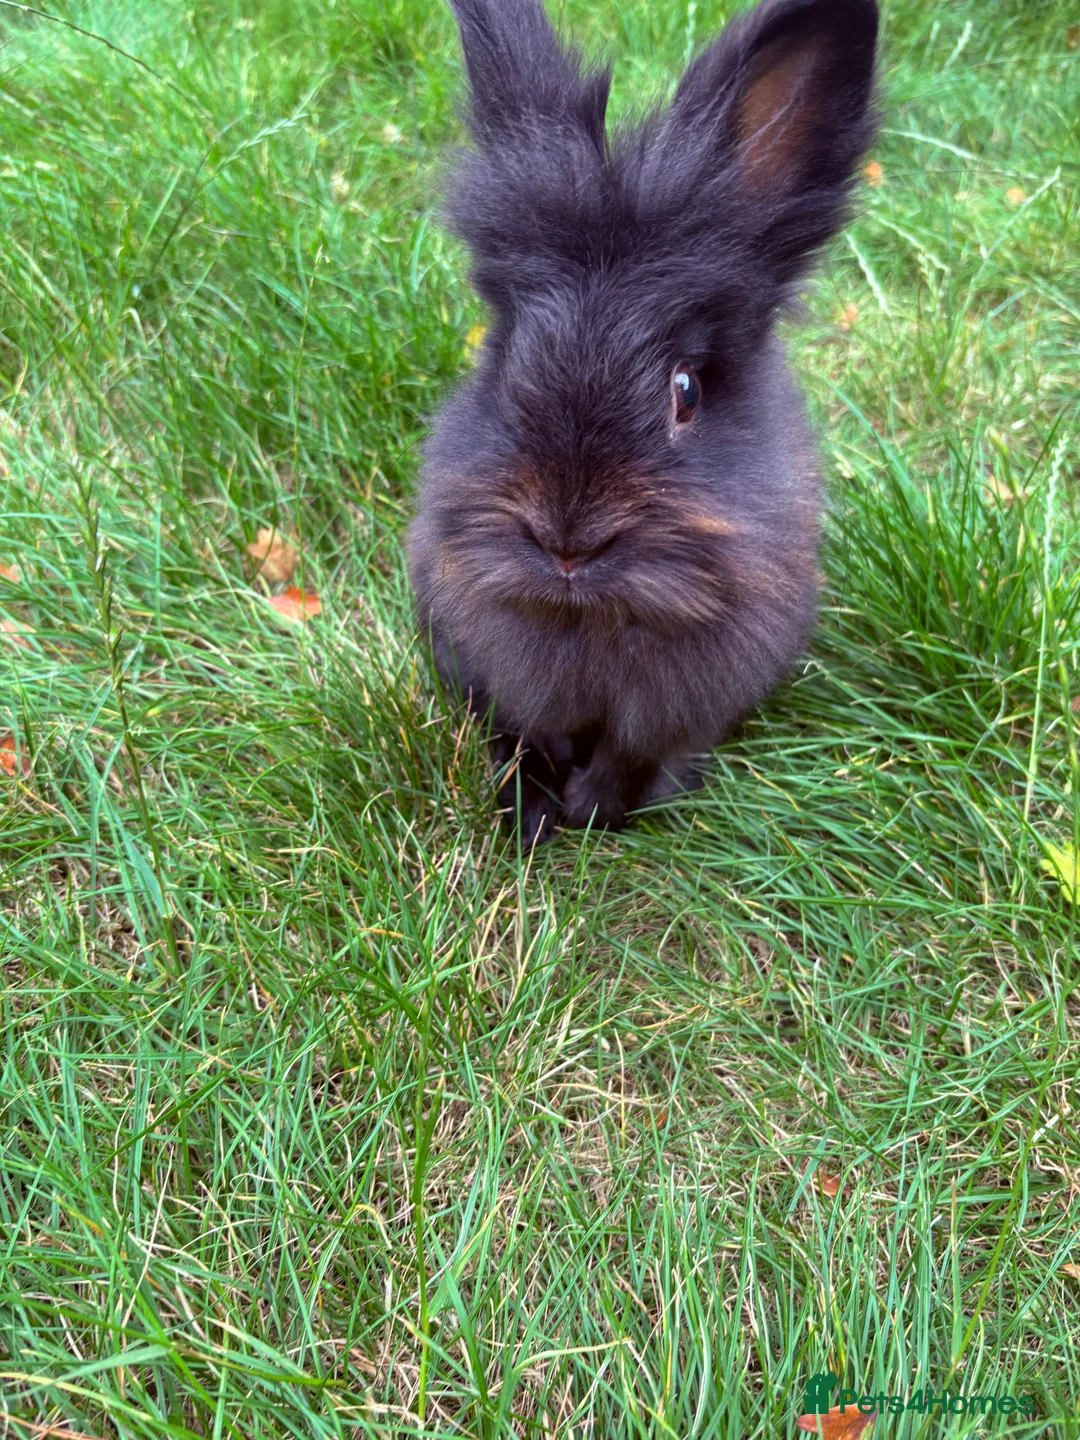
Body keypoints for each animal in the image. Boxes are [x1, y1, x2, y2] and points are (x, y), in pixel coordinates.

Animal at [408, 0, 879, 843]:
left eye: (685, 390)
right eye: (507, 356)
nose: (567, 543)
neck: (591, 617)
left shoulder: (684, 702)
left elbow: (635, 752)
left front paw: (595, 810)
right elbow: (523, 733)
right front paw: (533, 818)